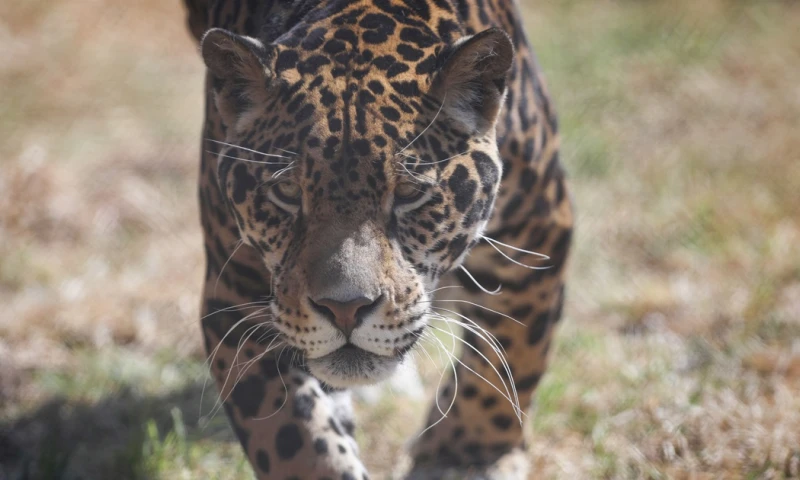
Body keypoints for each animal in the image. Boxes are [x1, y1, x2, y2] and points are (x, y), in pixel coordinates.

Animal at [181, 0, 573, 477]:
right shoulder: (236, 297)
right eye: (287, 191)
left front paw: (465, 460)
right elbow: (296, 443)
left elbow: (507, 361)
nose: (345, 309)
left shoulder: (537, 233)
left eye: (408, 192)